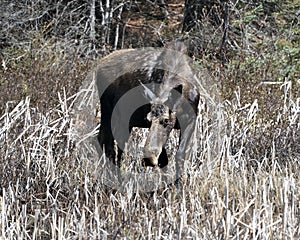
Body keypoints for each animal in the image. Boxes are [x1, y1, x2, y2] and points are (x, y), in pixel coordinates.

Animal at [95, 41, 212, 171]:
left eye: (166, 120)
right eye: (148, 120)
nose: (148, 159)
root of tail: (99, 66)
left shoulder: (191, 120)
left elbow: (180, 156)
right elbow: (164, 161)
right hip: (109, 112)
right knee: (108, 146)